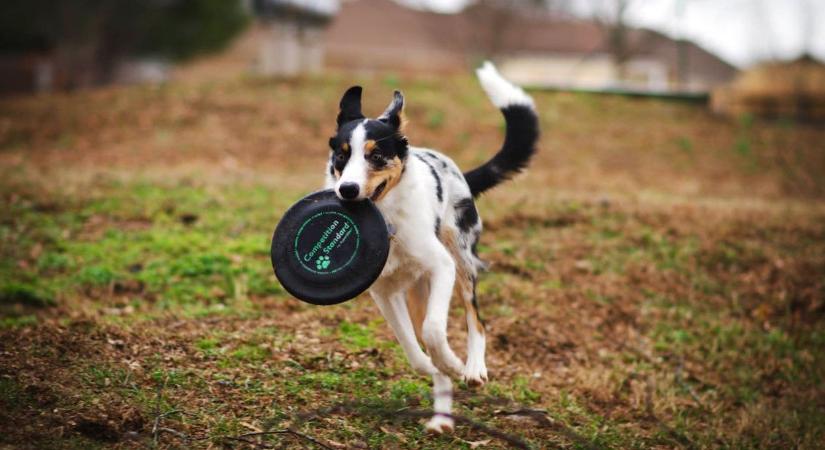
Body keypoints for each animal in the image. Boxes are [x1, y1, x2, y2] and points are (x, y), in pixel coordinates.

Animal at [322, 63, 540, 432]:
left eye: (376, 156)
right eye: (341, 156)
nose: (347, 190)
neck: (388, 220)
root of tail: (459, 173)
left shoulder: (441, 267)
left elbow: (435, 330)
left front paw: (454, 364)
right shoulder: (384, 291)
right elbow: (411, 344)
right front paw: (431, 367)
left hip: (461, 258)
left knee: (475, 319)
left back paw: (473, 368)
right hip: (416, 291)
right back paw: (441, 416)